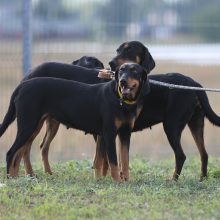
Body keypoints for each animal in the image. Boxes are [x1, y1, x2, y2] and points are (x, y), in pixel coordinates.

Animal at [0, 63, 150, 180]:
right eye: (121, 70)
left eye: (134, 70)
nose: (122, 81)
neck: (120, 100)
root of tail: (22, 85)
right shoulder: (109, 134)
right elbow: (113, 162)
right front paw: (117, 182)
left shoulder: (124, 134)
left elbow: (124, 160)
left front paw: (126, 181)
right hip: (28, 125)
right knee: (11, 153)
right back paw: (12, 179)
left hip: (36, 125)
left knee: (21, 151)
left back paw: (20, 177)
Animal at [93, 40, 220, 180]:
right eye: (117, 51)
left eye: (129, 50)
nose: (111, 63)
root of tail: (194, 84)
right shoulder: (115, 132)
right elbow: (112, 159)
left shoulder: (112, 131)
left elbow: (103, 159)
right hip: (196, 123)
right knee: (204, 154)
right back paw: (202, 179)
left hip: (171, 125)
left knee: (181, 155)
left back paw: (173, 180)